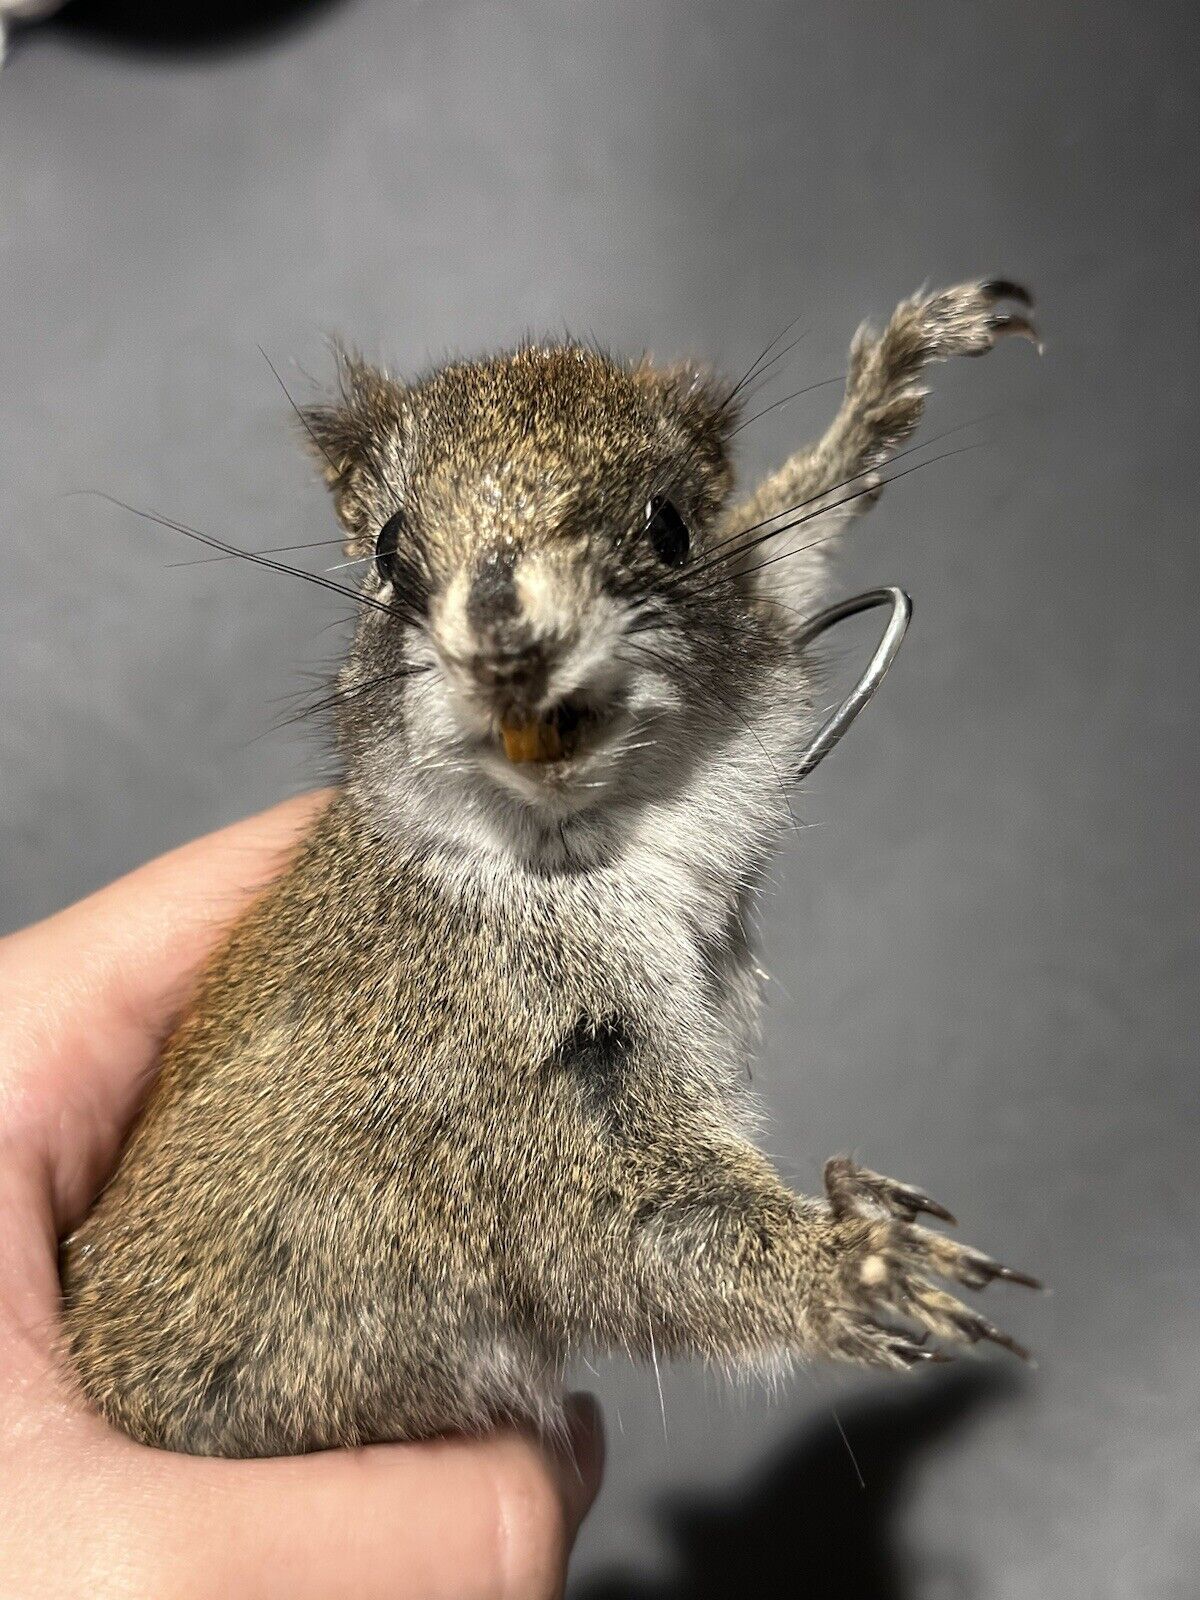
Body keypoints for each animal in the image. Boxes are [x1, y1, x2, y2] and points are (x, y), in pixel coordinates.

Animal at [61, 279, 1042, 1458]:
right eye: (388, 553)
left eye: (669, 526)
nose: (506, 642)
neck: (594, 845)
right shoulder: (491, 1087)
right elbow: (627, 1237)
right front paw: (855, 1264)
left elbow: (775, 552)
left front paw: (883, 394)